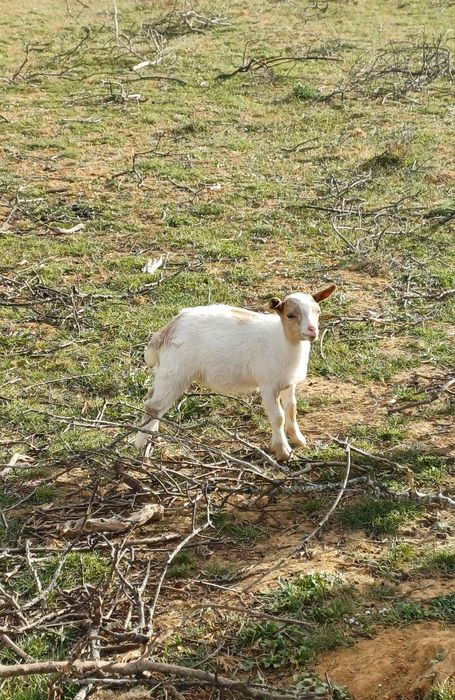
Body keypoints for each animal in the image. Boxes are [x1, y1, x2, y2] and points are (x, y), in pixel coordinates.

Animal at [135, 285, 336, 460]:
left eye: (317, 312)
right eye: (290, 315)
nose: (312, 331)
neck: (283, 341)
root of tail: (166, 331)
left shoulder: (288, 383)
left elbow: (291, 410)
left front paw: (299, 440)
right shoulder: (268, 385)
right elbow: (278, 417)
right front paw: (283, 452)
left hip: (168, 372)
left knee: (154, 401)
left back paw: (152, 436)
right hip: (175, 373)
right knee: (152, 406)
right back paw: (140, 443)